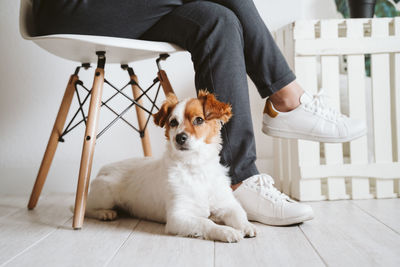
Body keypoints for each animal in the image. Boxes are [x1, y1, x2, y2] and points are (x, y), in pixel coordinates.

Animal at [86, 91, 258, 244]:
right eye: (173, 122)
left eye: (199, 120)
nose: (180, 137)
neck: (196, 167)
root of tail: (103, 168)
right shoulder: (178, 217)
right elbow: (206, 223)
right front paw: (226, 231)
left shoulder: (227, 203)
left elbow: (239, 214)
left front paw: (247, 226)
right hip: (105, 194)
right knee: (88, 208)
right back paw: (104, 213)